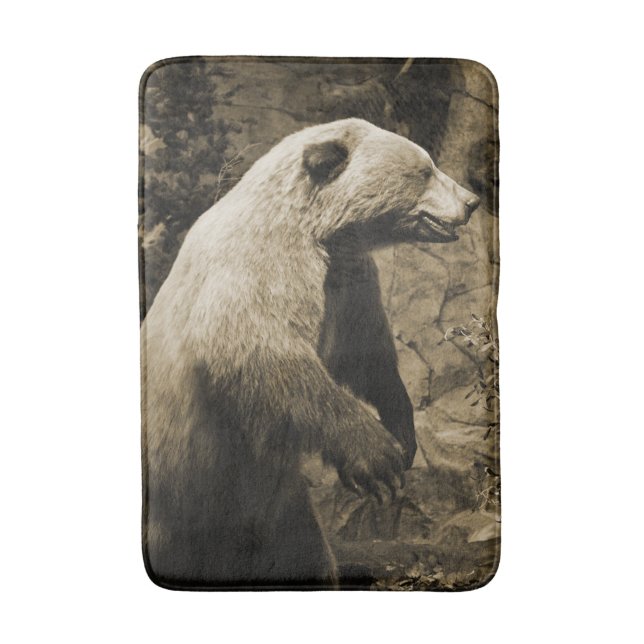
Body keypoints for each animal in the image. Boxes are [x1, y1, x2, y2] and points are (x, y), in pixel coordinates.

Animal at [141, 117, 479, 589]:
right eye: (424, 170)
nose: (472, 201)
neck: (319, 229)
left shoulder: (347, 276)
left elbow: (364, 354)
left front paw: (402, 431)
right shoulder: (260, 263)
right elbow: (261, 349)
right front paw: (377, 458)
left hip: (279, 510)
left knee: (303, 556)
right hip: (182, 493)